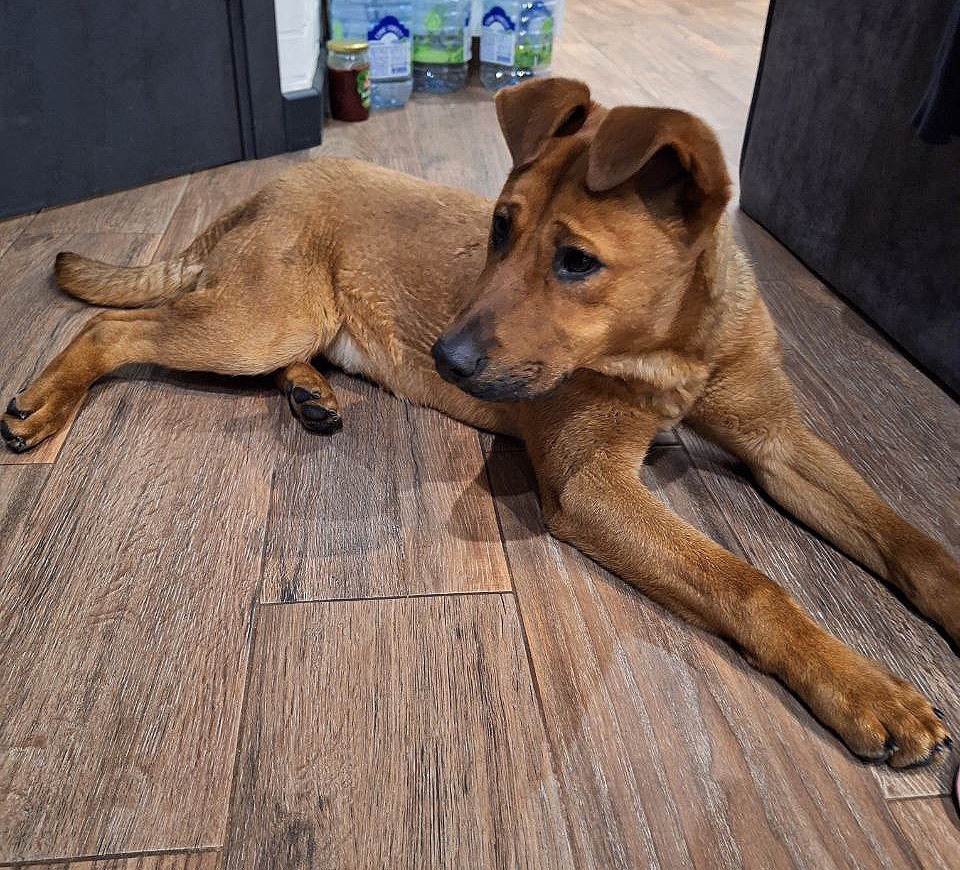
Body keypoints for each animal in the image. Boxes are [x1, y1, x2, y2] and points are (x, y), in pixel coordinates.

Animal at [3, 78, 957, 767]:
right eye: (499, 227)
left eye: (577, 262)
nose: (447, 359)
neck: (672, 347)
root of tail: (258, 192)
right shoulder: (591, 484)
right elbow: (747, 581)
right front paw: (868, 690)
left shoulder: (778, 443)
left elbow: (908, 538)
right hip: (259, 319)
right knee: (113, 328)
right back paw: (46, 404)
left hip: (288, 320)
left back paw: (311, 394)